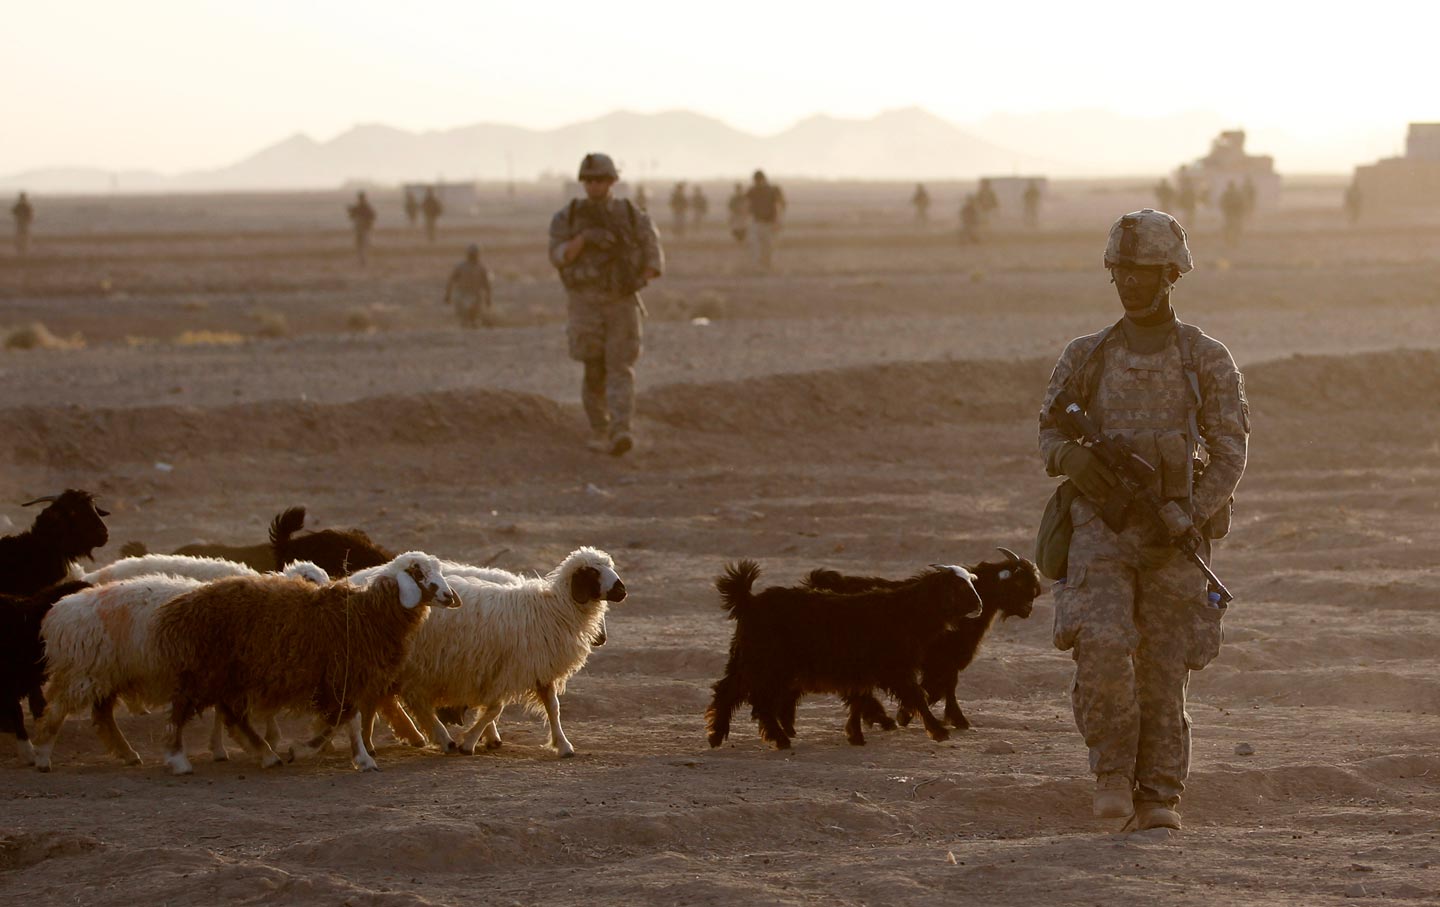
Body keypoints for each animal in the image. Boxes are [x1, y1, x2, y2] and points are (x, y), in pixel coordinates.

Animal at [705, 561, 979, 754]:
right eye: (959, 587)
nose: (979, 605)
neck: (905, 612)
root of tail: (748, 600)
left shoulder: (863, 671)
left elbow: (859, 700)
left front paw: (855, 735)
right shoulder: (895, 669)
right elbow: (916, 698)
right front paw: (938, 731)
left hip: (747, 661)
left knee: (727, 691)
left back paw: (716, 735)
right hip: (767, 665)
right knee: (759, 702)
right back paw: (779, 739)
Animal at [806, 547, 1042, 731]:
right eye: (1019, 583)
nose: (1029, 609)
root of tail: (817, 583)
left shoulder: (944, 661)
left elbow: (943, 686)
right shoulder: (941, 659)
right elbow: (941, 686)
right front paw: (915, 714)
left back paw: (878, 718)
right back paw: (882, 718)